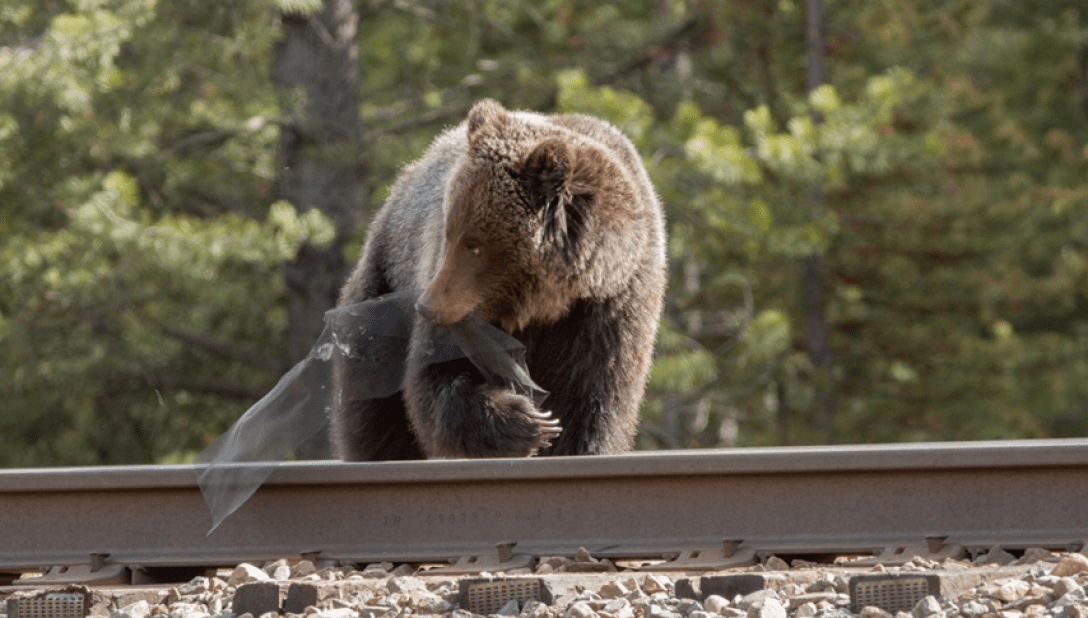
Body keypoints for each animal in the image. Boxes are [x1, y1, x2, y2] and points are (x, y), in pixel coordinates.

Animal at [326, 100, 665, 459]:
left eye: (474, 245)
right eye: (449, 232)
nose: (427, 306)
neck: (544, 302)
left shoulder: (609, 307)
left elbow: (594, 399)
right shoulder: (459, 305)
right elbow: (435, 376)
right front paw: (524, 422)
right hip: (384, 280)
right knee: (373, 405)